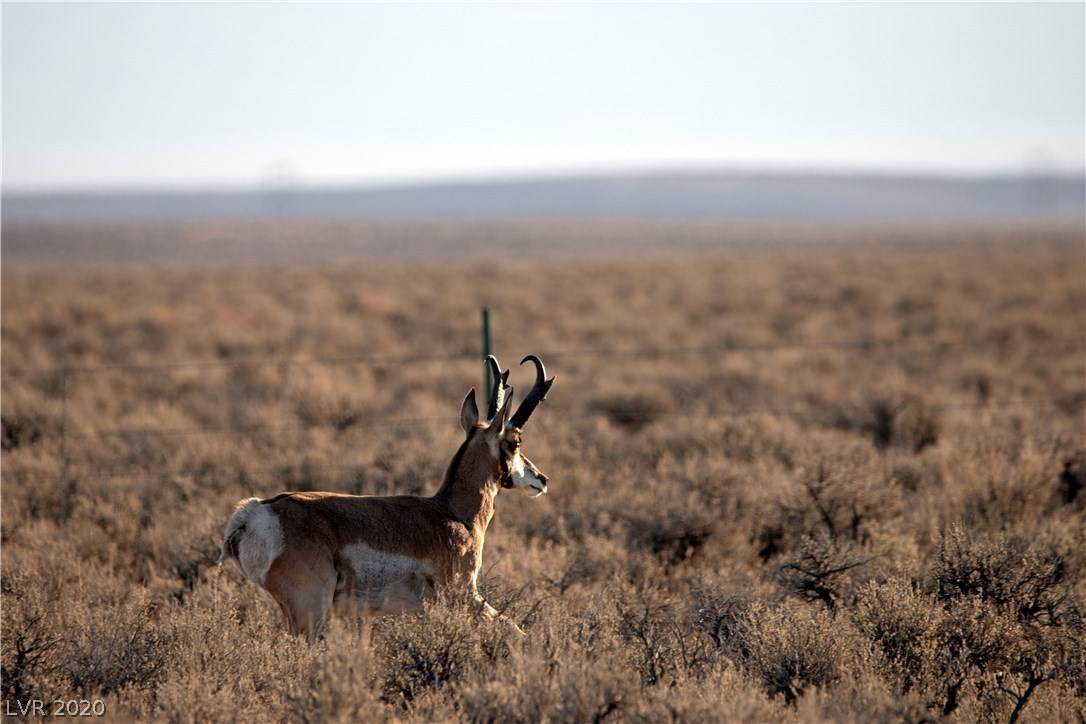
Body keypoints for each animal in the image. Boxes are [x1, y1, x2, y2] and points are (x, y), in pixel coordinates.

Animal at [222, 353, 560, 638]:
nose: (542, 479)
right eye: (516, 442)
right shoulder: (465, 593)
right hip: (311, 612)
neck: (452, 512)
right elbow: (513, 628)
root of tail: (255, 512)